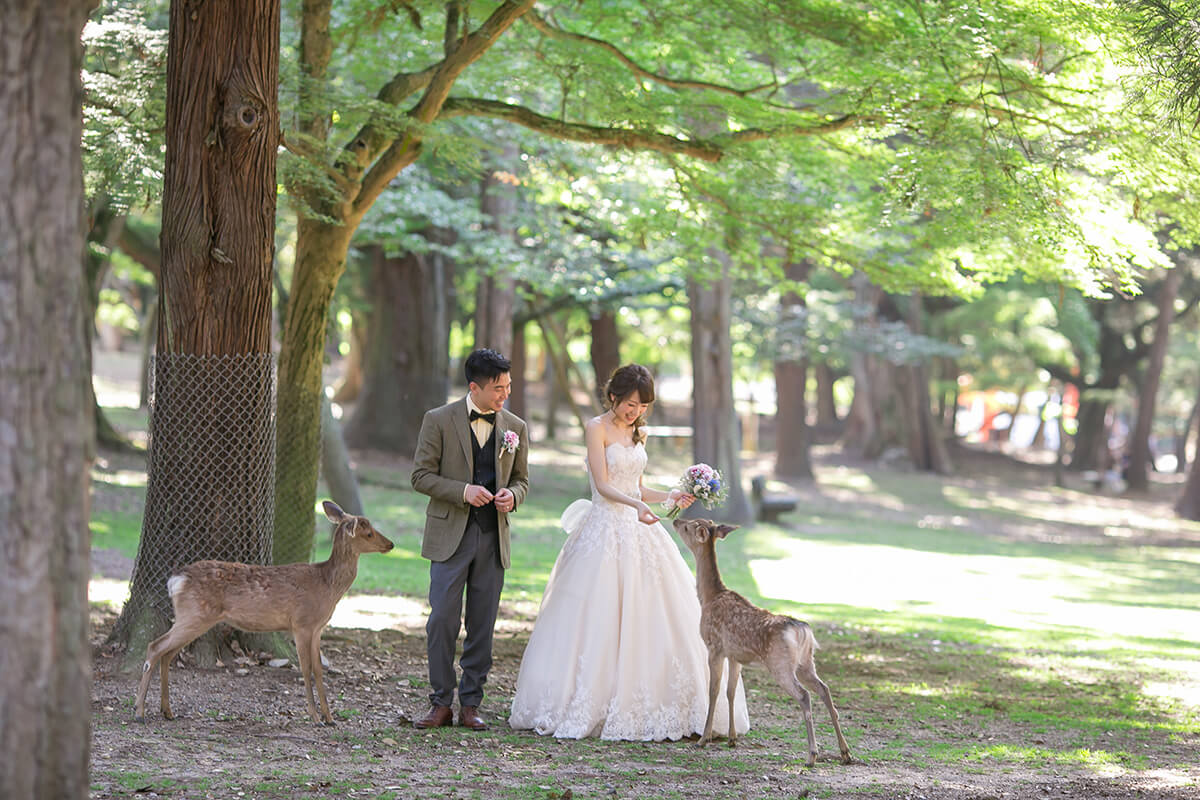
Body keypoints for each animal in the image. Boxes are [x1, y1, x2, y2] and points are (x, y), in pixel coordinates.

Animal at [135, 501, 393, 724]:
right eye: (368, 533)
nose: (390, 544)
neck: (327, 586)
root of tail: (175, 580)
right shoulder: (301, 623)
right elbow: (306, 668)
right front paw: (315, 717)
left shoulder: (318, 627)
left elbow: (319, 670)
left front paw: (329, 718)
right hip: (195, 614)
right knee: (155, 646)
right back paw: (140, 712)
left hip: (192, 617)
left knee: (167, 653)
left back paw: (167, 711)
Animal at [676, 515, 854, 767]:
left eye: (688, 526)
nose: (676, 520)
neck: (709, 597)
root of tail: (802, 631)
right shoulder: (735, 655)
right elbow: (731, 691)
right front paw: (732, 739)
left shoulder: (714, 646)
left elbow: (714, 690)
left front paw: (704, 739)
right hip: (806, 662)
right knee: (824, 689)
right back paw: (845, 752)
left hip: (780, 664)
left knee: (805, 695)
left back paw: (812, 754)